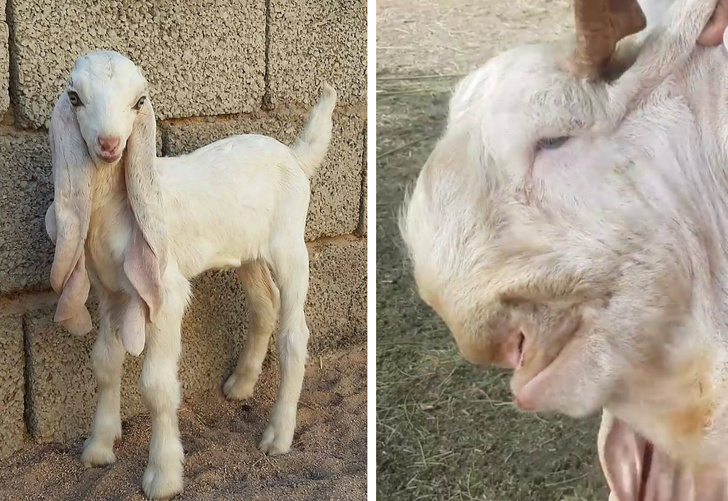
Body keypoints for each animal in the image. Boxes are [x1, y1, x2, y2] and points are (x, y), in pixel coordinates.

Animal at [44, 50, 337, 499]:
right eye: (74, 98)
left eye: (139, 101)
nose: (109, 145)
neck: (115, 206)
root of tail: (294, 156)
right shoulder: (111, 292)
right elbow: (105, 364)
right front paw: (98, 448)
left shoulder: (164, 291)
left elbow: (157, 385)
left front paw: (162, 476)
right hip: (247, 254)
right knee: (264, 307)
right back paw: (240, 385)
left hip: (290, 245)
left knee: (294, 334)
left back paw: (278, 436)